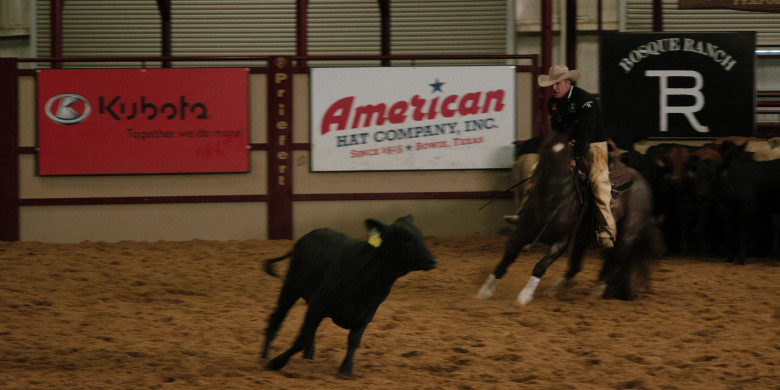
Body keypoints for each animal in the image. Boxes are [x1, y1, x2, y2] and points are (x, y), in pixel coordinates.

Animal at [476, 131, 660, 304]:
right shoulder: (521, 233)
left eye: (566, 155)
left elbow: (540, 266)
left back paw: (597, 291)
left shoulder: (561, 241)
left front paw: (524, 296)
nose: (558, 181)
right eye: (545, 150)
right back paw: (555, 290)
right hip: (583, 240)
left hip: (628, 233)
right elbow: (506, 259)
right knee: (578, 266)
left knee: (617, 259)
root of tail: (640, 179)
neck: (550, 202)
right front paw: (485, 291)